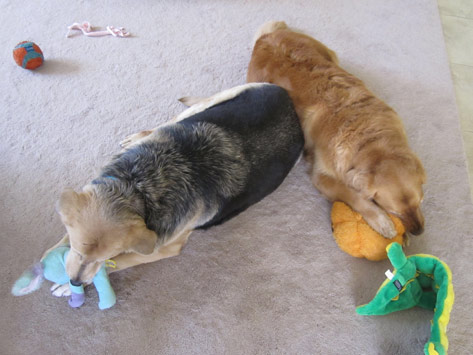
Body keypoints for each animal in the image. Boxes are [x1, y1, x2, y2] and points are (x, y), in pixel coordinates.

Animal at [45, 82, 302, 294]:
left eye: (107, 257)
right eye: (78, 251)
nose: (76, 282)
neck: (140, 186)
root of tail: (293, 108)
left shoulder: (164, 248)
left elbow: (117, 263)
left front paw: (68, 286)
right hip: (206, 106)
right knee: (170, 121)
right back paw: (137, 137)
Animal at [247, 22, 424, 239]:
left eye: (421, 202)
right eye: (394, 212)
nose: (420, 232)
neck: (370, 142)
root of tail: (266, 37)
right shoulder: (321, 176)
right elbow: (351, 195)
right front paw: (381, 221)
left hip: (329, 53)